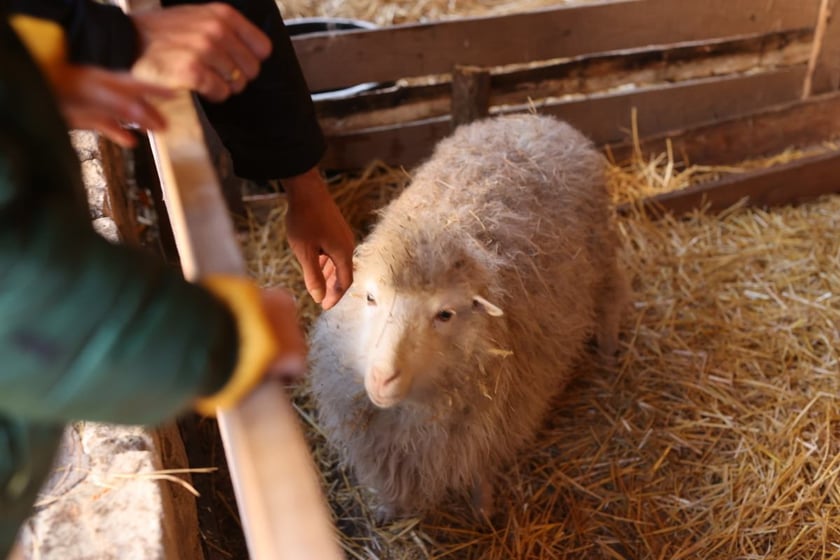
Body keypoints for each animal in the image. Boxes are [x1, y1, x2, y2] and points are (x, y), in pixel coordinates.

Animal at [306, 114, 628, 520]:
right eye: (370, 297)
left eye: (445, 314)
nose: (382, 377)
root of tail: (533, 117)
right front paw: (386, 511)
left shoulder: (491, 426)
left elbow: (480, 471)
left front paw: (483, 511)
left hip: (601, 256)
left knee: (612, 297)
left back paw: (608, 351)